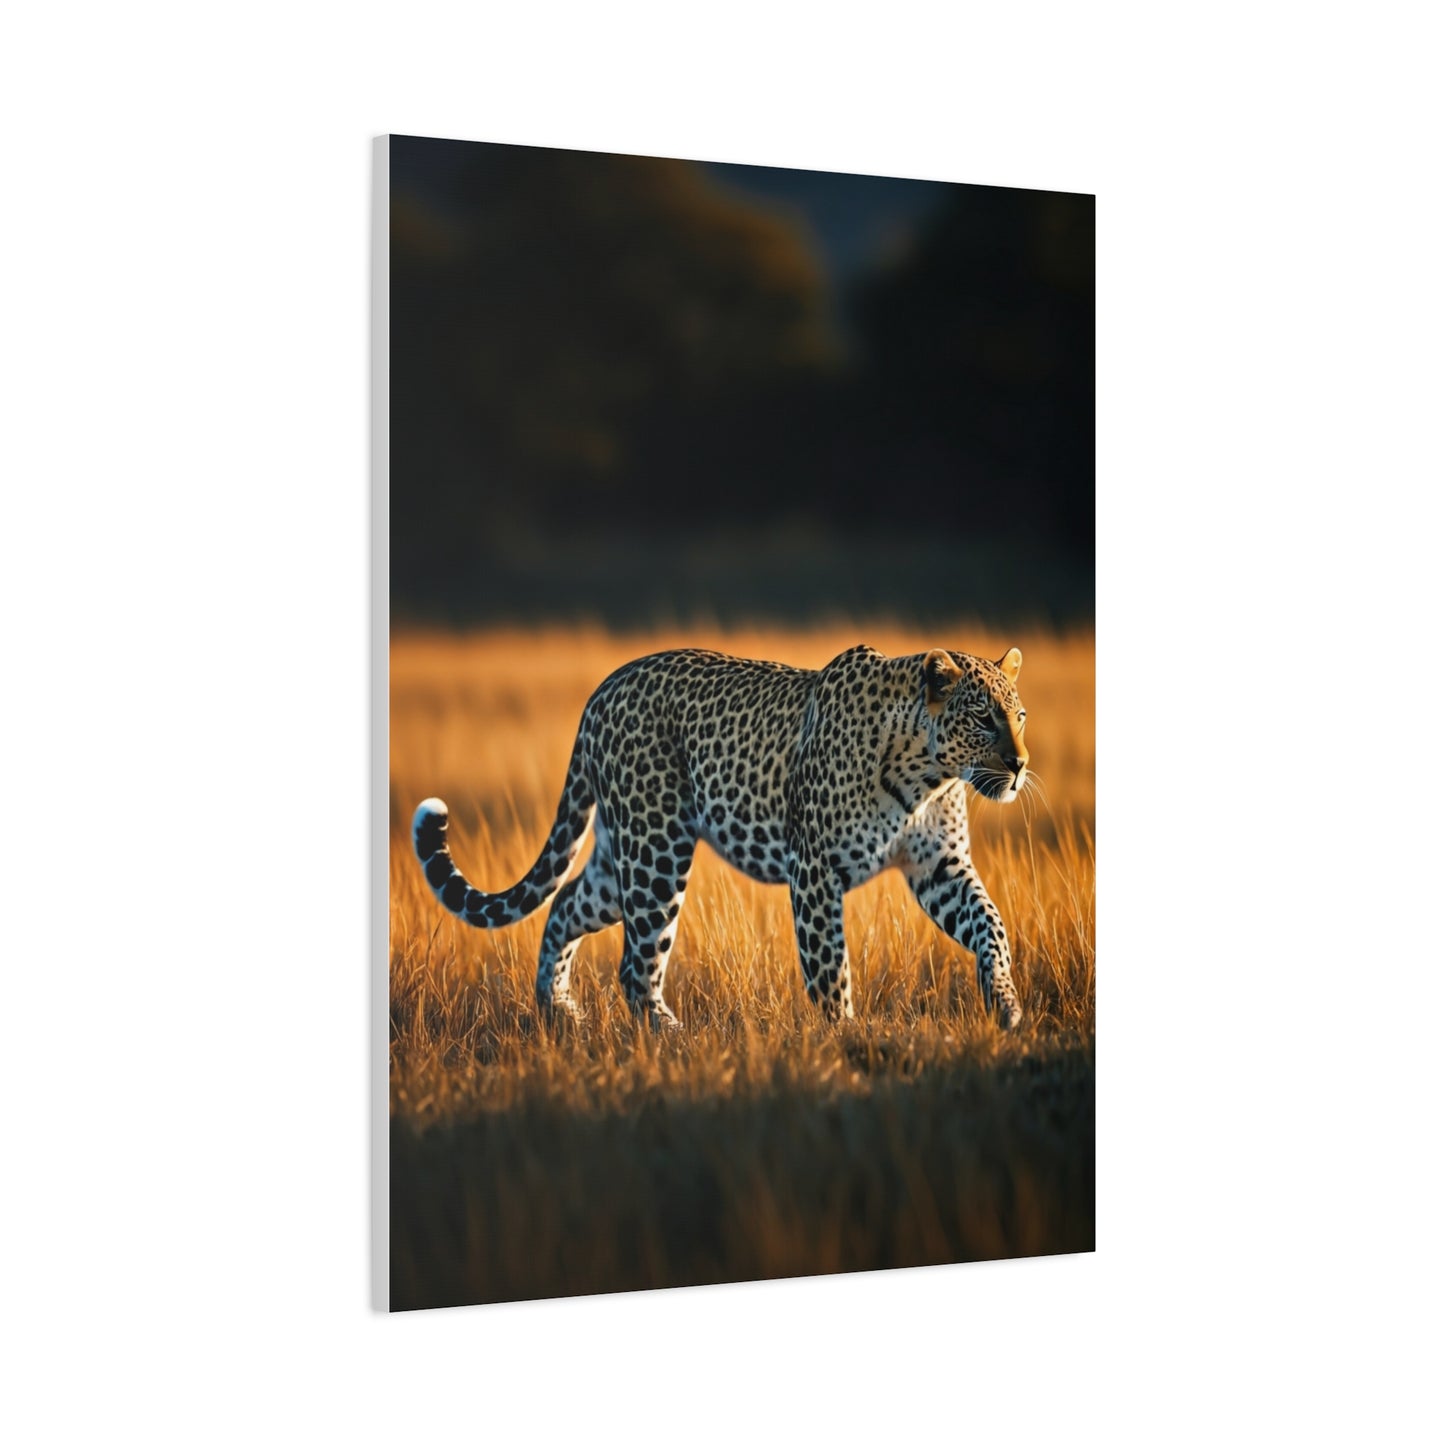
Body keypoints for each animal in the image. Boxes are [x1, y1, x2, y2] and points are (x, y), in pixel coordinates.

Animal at [412, 643, 1031, 1030]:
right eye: (983, 718)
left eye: (1020, 716)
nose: (1021, 764)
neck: (927, 773)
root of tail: (602, 690)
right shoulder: (814, 870)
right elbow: (829, 966)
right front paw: (848, 1038)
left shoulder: (940, 867)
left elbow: (990, 923)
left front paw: (1004, 1001)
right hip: (657, 848)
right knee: (635, 965)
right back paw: (672, 1038)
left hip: (621, 858)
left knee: (565, 904)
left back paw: (559, 1011)